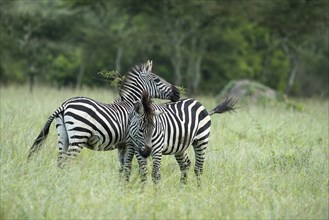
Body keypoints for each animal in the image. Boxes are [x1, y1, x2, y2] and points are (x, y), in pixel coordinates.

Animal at [27, 61, 179, 168]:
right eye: (157, 80)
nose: (177, 93)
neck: (130, 103)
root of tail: (64, 105)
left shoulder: (122, 145)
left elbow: (122, 166)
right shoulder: (131, 142)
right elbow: (128, 165)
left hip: (63, 135)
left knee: (60, 161)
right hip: (78, 135)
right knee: (68, 161)